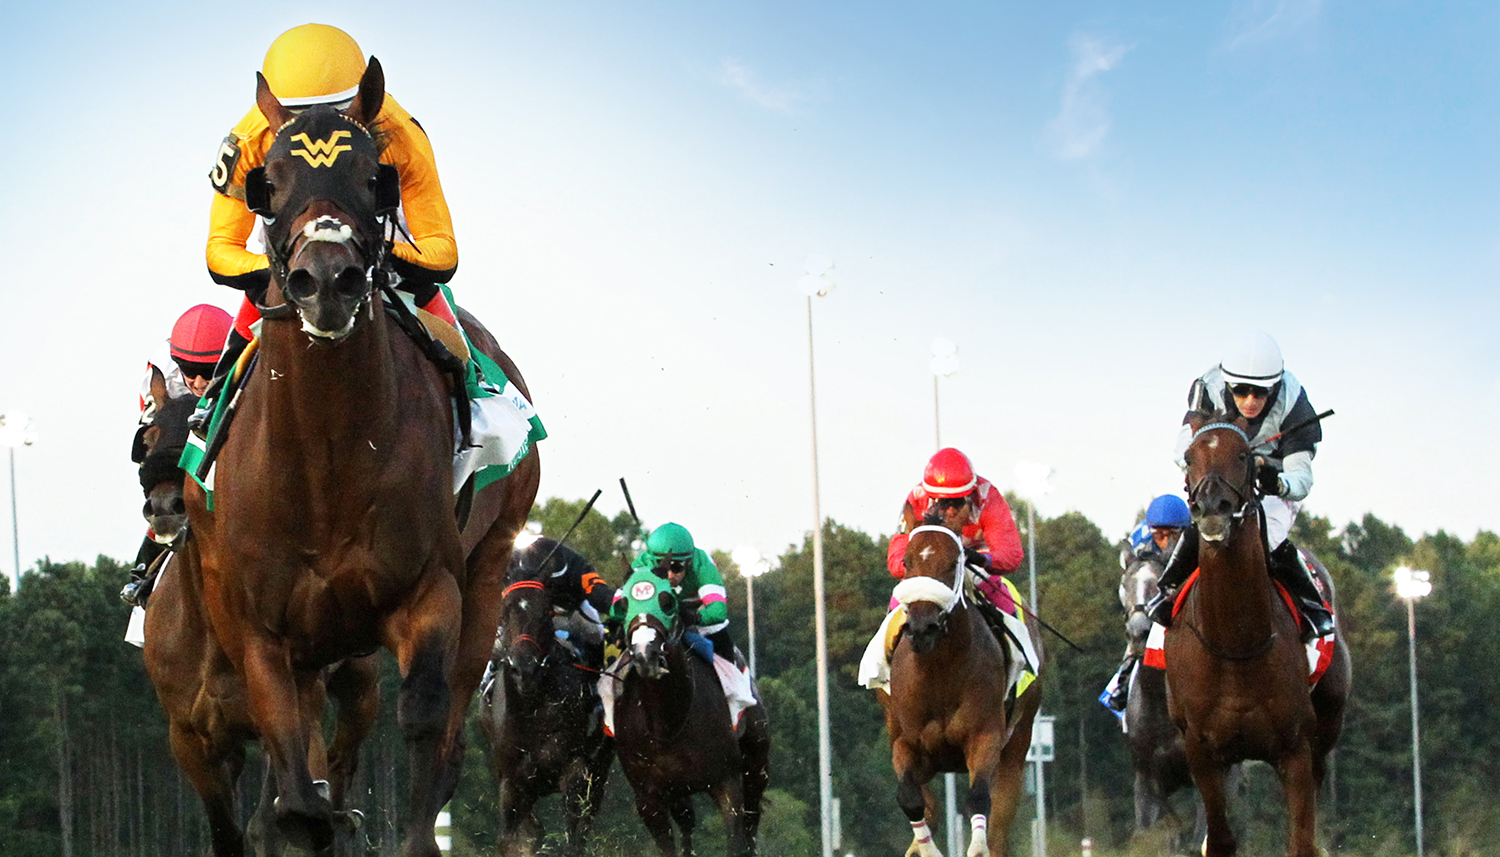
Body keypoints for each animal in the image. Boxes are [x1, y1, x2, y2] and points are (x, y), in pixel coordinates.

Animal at [135, 363, 378, 857]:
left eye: (202, 427)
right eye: (148, 436)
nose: (165, 507)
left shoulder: (287, 718)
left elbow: (268, 823)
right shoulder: (190, 739)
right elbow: (226, 832)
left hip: (360, 687)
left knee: (342, 761)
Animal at [184, 60, 543, 857]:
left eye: (376, 178)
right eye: (268, 181)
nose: (327, 280)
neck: (327, 455)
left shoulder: (430, 589)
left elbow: (426, 718)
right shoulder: (262, 630)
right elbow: (292, 775)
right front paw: (300, 817)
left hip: (490, 566)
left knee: (443, 723)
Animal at [612, 567, 774, 852]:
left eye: (666, 602)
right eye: (624, 604)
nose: (646, 655)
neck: (669, 721)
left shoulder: (727, 782)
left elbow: (736, 837)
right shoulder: (649, 798)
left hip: (756, 764)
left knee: (751, 820)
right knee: (687, 822)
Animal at [876, 522, 1044, 857]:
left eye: (953, 563)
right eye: (907, 562)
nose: (922, 627)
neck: (938, 671)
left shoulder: (985, 736)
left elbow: (979, 800)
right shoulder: (906, 741)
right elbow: (910, 797)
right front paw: (923, 848)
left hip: (1019, 742)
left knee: (1000, 824)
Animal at [1164, 408, 1356, 857]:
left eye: (1243, 455)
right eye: (1189, 455)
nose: (1211, 508)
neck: (1236, 644)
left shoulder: (1296, 750)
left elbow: (1301, 841)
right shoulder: (1201, 750)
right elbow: (1220, 839)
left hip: (1327, 728)